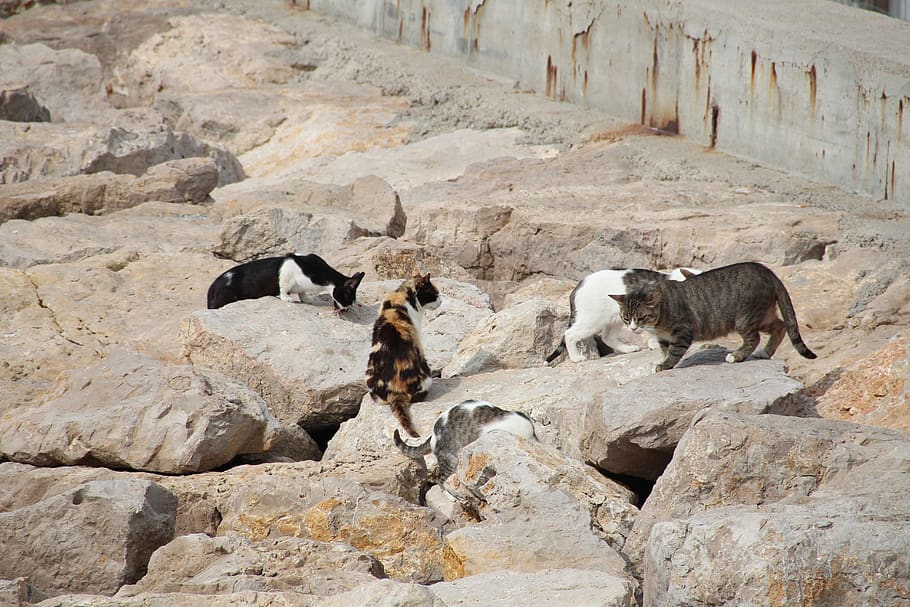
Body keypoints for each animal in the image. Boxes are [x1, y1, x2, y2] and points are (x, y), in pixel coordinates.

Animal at [205, 253, 366, 312]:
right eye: (348, 297)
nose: (347, 309)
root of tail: (213, 287)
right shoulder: (288, 272)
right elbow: (283, 288)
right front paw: (288, 299)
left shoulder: (301, 286)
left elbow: (302, 293)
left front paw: (308, 300)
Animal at [544, 268, 700, 364]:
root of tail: (579, 286)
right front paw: (655, 344)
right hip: (591, 320)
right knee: (569, 334)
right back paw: (576, 357)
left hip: (615, 319)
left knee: (607, 337)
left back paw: (627, 349)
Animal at [612, 262, 820, 370]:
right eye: (626, 318)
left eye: (641, 318)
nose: (633, 328)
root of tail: (766, 270)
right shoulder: (664, 338)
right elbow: (665, 350)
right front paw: (663, 360)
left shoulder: (683, 331)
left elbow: (675, 351)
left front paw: (666, 365)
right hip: (763, 315)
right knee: (780, 326)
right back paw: (765, 353)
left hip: (745, 317)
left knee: (754, 338)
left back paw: (737, 356)